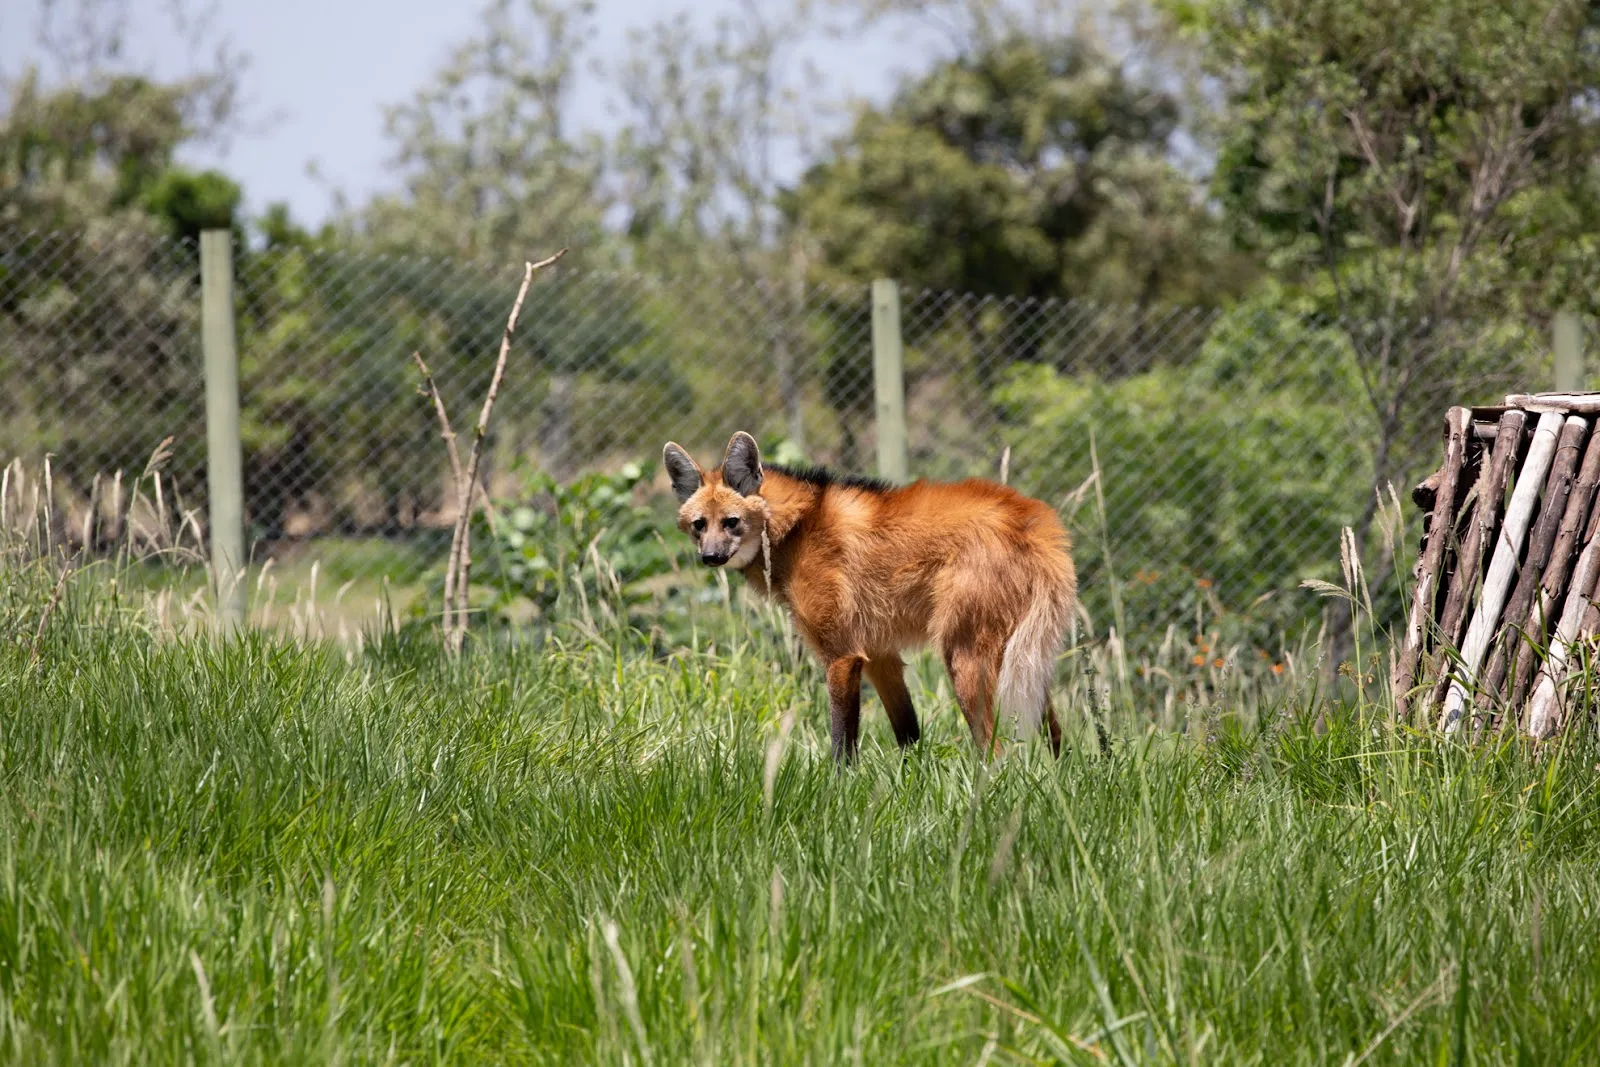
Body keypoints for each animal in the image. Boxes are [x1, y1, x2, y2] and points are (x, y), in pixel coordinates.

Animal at [662, 432, 1077, 759]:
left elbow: (841, 743)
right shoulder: (878, 654)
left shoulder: (842, 655)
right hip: (1023, 655)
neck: (794, 526)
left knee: (997, 751)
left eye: (731, 522)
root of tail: (1034, 519)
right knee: (1057, 737)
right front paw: (911, 788)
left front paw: (836, 792)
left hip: (965, 657)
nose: (710, 557)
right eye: (700, 525)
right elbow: (908, 733)